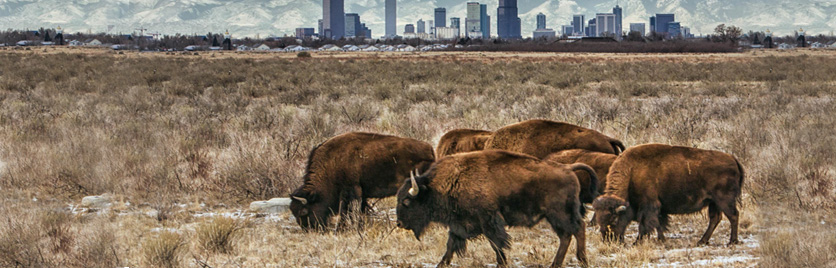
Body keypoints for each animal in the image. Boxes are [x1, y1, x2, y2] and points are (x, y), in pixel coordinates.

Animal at [290, 132, 434, 230]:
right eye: (293, 211)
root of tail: (430, 149)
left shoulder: (351, 190)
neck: (331, 163)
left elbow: (348, 210)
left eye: (304, 211)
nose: (308, 229)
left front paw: (342, 228)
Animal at [396, 150, 592, 266]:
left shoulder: (489, 221)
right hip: (554, 217)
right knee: (567, 235)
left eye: (406, 201)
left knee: (577, 229)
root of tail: (568, 168)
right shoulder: (459, 224)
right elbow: (451, 245)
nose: (399, 223)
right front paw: (441, 264)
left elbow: (496, 244)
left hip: (559, 214)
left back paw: (581, 260)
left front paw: (502, 263)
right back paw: (558, 263)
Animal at [588, 144, 744, 245]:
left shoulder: (649, 205)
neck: (632, 172)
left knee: (733, 216)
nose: (609, 240)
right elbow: (658, 224)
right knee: (715, 219)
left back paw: (732, 242)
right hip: (713, 202)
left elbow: (645, 224)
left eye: (614, 219)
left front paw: (637, 242)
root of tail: (732, 159)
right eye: (599, 220)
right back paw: (702, 241)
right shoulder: (659, 208)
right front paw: (661, 239)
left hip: (724, 200)